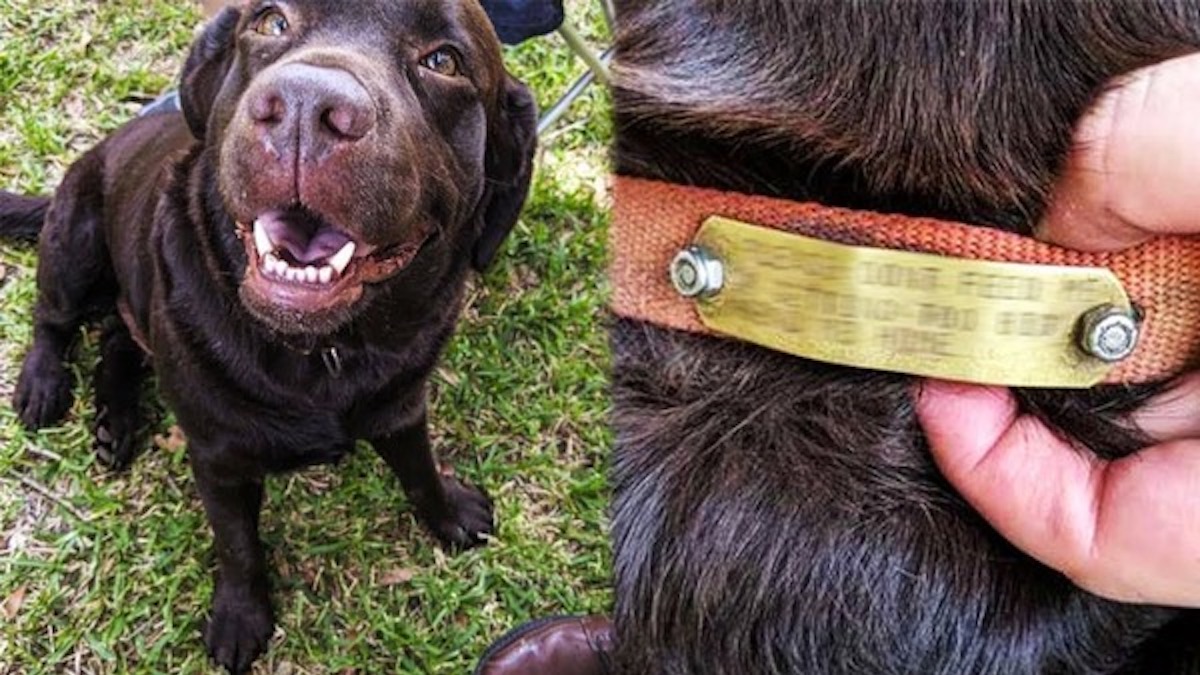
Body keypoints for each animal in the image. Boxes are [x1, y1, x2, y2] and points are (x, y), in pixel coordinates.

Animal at [0, 2, 535, 667]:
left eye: (444, 61)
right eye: (270, 22)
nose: (307, 105)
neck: (322, 352)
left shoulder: (401, 404)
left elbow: (419, 467)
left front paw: (451, 513)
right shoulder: (218, 457)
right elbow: (238, 544)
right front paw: (241, 617)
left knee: (119, 339)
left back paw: (115, 420)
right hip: (75, 236)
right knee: (53, 317)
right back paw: (44, 384)